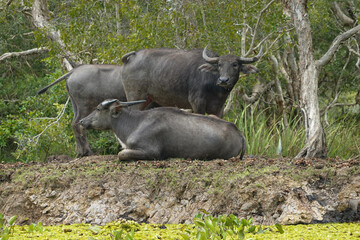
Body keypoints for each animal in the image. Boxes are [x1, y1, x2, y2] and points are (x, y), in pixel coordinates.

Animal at [80, 98, 246, 160]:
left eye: (98, 109)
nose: (82, 121)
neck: (135, 123)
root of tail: (238, 131)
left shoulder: (150, 151)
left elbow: (121, 154)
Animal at [121, 46, 262, 117]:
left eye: (235, 64)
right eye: (220, 64)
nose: (223, 80)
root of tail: (131, 58)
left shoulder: (219, 108)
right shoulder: (197, 103)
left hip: (149, 100)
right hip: (135, 97)